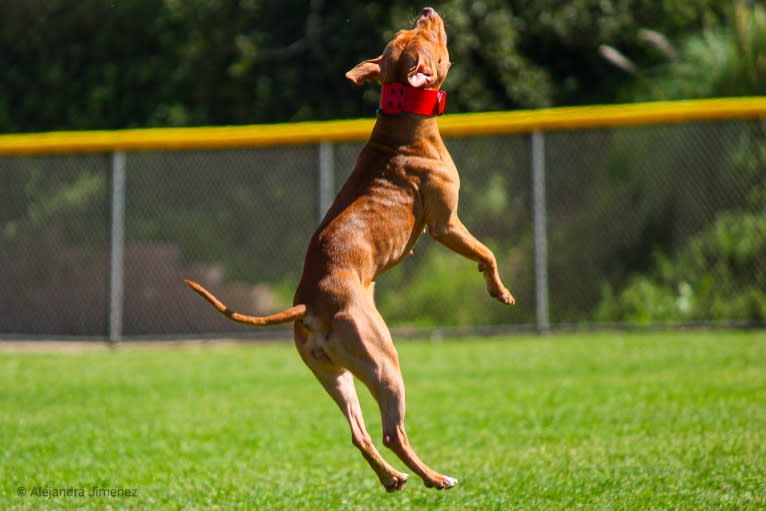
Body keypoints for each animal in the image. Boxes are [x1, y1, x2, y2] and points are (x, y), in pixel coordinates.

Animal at [184, 8, 516, 494]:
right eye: (425, 36)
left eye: (406, 31)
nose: (427, 11)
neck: (403, 128)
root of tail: (310, 304)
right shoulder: (446, 224)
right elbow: (486, 252)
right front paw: (500, 291)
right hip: (384, 363)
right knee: (392, 431)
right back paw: (435, 478)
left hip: (334, 374)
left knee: (359, 433)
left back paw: (393, 478)